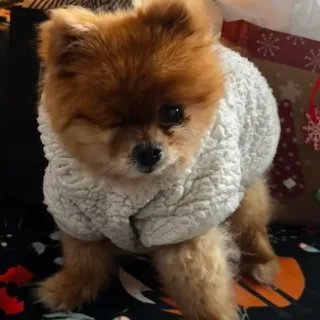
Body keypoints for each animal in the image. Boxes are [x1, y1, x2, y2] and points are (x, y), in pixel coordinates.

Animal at [35, 1, 280, 318]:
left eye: (173, 112)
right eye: (114, 122)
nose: (148, 150)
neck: (124, 185)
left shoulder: (180, 224)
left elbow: (201, 284)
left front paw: (214, 314)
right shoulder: (77, 213)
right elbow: (83, 258)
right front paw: (71, 288)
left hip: (246, 196)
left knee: (253, 229)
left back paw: (262, 263)